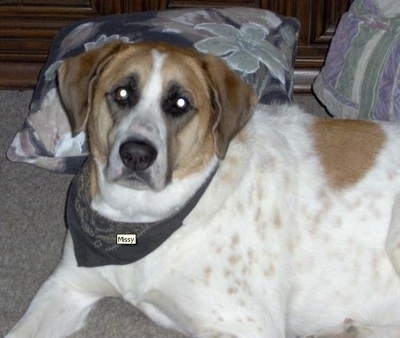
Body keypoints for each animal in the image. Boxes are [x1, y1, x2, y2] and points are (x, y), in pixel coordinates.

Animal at [6, 41, 400, 336]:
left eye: (180, 103)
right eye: (121, 93)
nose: (136, 155)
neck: (140, 222)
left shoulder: (244, 325)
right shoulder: (66, 287)